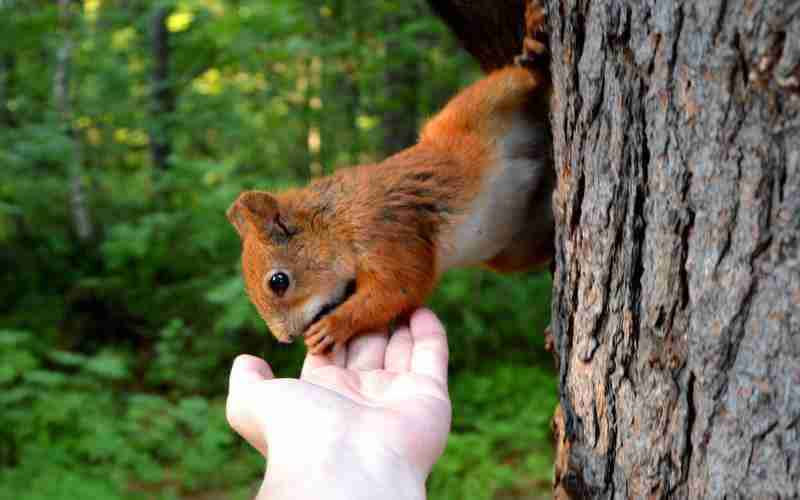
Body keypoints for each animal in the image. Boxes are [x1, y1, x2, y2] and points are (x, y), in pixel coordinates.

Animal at [227, 6, 552, 356]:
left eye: (278, 281)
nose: (286, 338)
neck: (335, 221)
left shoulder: (383, 229)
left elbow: (399, 286)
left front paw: (333, 326)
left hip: (482, 103)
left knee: (523, 79)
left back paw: (534, 45)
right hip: (513, 247)